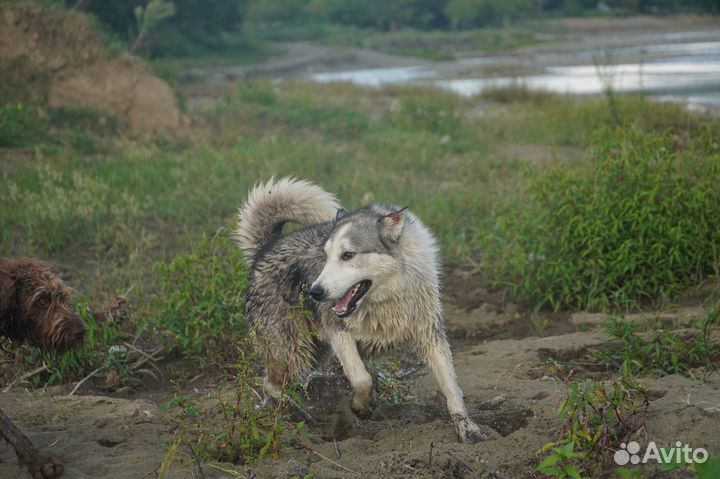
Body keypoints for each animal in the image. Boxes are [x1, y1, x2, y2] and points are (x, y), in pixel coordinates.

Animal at [236, 178, 484, 444]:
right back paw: (293, 413)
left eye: (348, 255)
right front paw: (362, 407)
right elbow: (362, 378)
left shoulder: (431, 335)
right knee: (269, 383)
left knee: (276, 384)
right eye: (326, 256)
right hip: (294, 352)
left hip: (314, 353)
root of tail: (265, 249)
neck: (388, 298)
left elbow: (452, 388)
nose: (314, 292)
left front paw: (467, 428)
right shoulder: (338, 331)